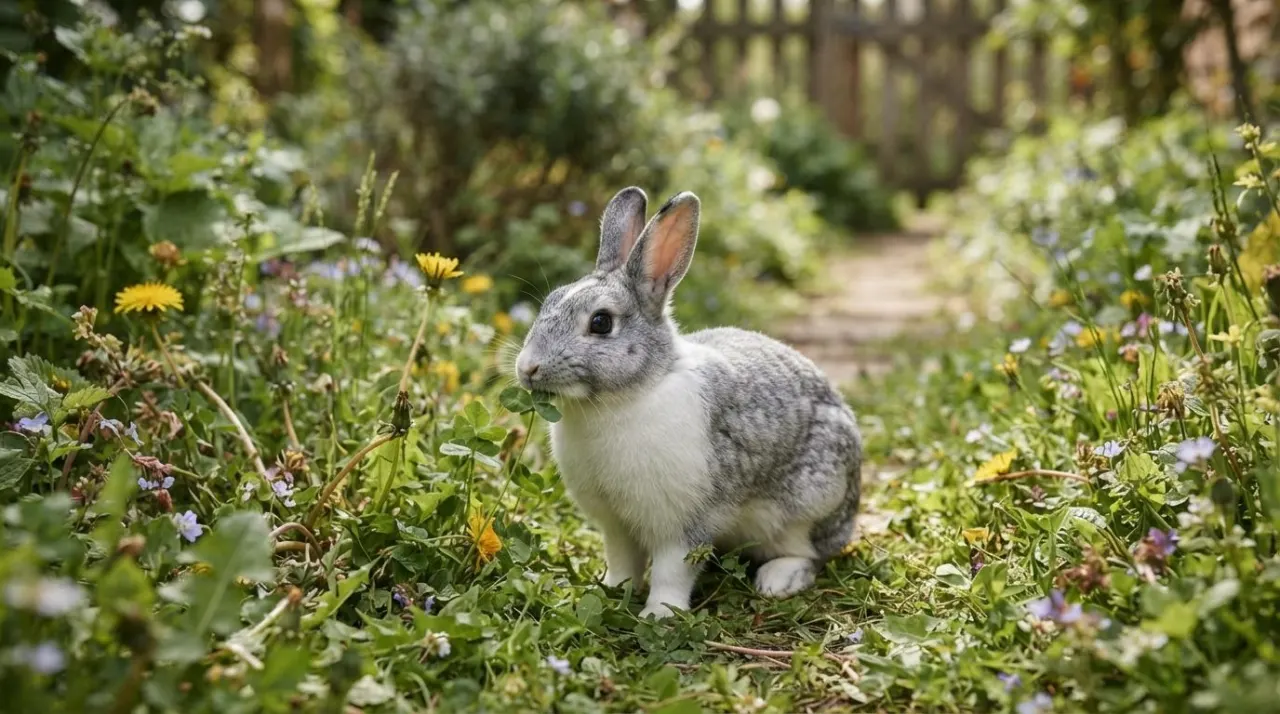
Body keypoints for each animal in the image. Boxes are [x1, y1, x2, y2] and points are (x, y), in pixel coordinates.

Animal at [514, 187, 862, 619]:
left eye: (601, 323)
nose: (527, 367)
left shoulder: (684, 523)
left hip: (810, 504)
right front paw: (612, 590)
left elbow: (671, 572)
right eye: (550, 301)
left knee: (810, 552)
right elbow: (622, 560)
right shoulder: (616, 524)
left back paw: (777, 580)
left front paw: (659, 614)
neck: (632, 392)